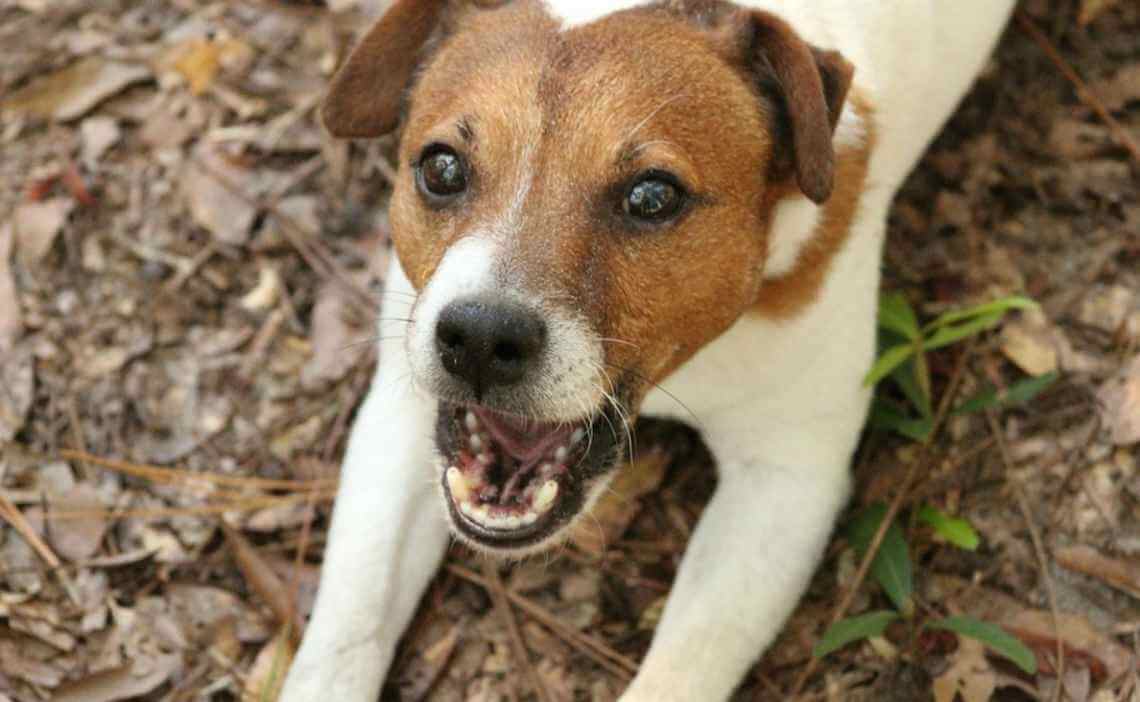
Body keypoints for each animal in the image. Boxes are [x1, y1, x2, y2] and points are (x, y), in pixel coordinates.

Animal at [280, 2, 1012, 697]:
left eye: (653, 195)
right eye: (441, 168)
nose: (482, 337)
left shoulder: (785, 479)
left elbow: (683, 666)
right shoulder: (401, 419)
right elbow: (347, 627)